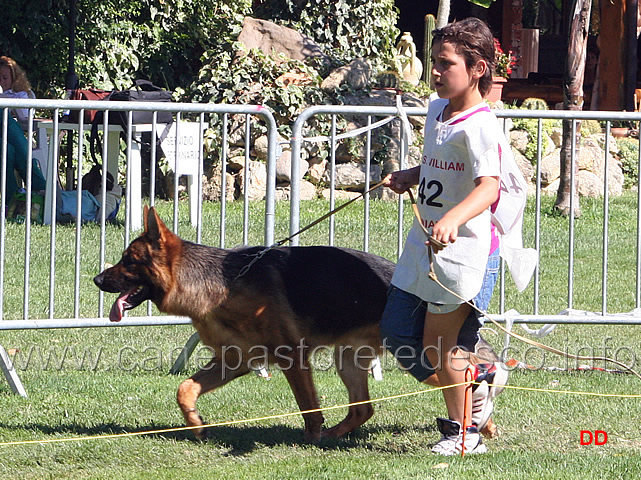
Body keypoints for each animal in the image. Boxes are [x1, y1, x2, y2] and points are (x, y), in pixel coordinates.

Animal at [94, 206, 396, 442]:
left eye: (128, 261)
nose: (96, 280)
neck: (219, 286)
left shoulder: (292, 357)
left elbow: (307, 405)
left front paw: (311, 439)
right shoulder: (235, 359)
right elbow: (185, 389)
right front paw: (196, 424)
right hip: (347, 358)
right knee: (363, 409)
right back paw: (335, 434)